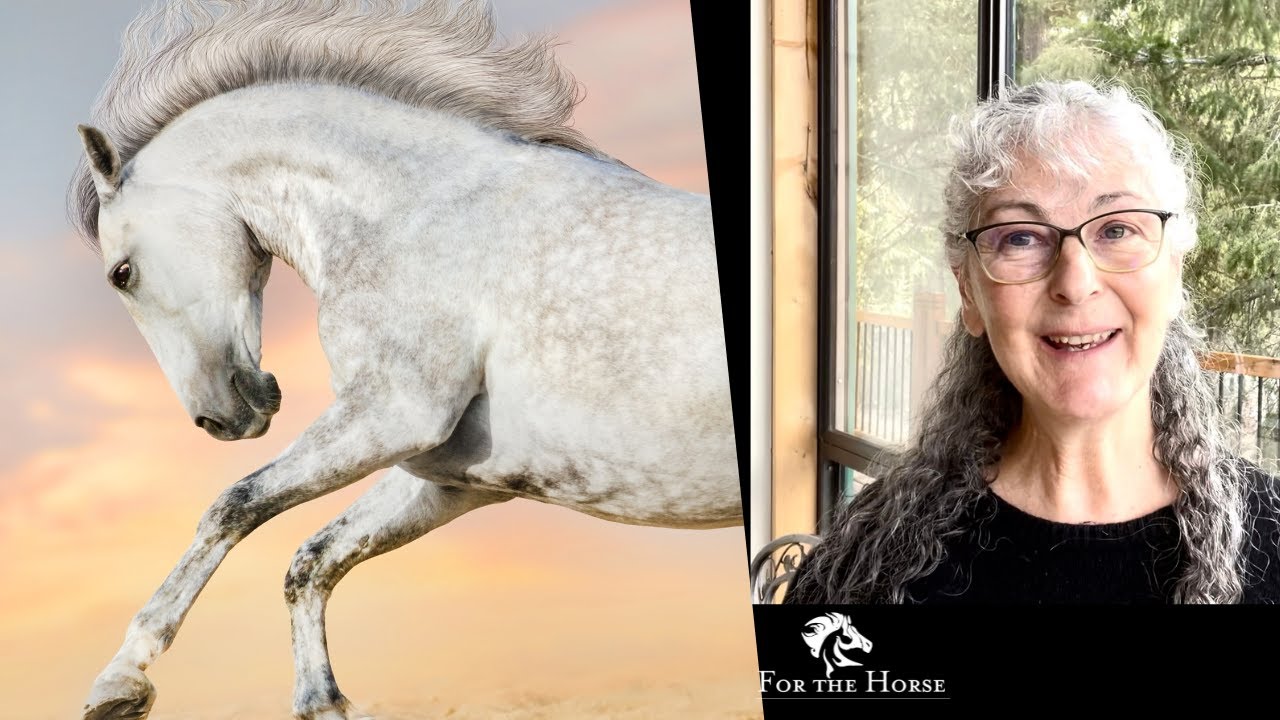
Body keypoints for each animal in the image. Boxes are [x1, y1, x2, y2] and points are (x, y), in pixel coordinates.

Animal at [68, 2, 739, 718]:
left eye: (121, 273)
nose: (219, 418)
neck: (417, 214)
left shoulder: (392, 414)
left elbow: (233, 506)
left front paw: (121, 680)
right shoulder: (451, 475)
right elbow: (312, 559)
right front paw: (322, 701)